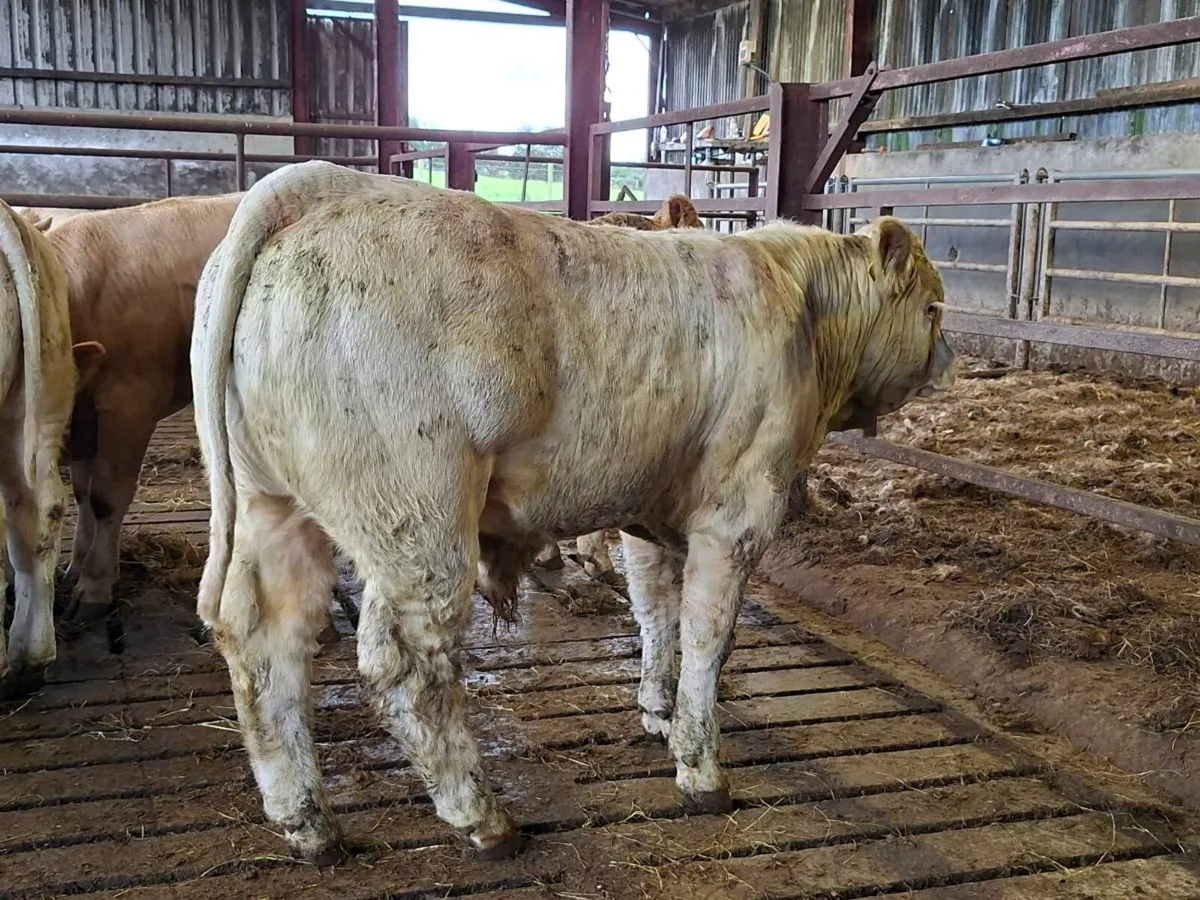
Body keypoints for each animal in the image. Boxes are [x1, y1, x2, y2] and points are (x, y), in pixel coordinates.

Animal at [43, 194, 242, 627]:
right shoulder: (85, 417)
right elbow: (82, 493)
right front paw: (74, 570)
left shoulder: (128, 404)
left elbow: (106, 496)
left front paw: (94, 588)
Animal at [190, 160, 955, 864]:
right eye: (933, 308)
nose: (947, 360)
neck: (802, 309)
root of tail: (319, 189)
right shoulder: (738, 510)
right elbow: (709, 635)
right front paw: (701, 767)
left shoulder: (652, 512)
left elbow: (655, 610)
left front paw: (656, 710)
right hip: (416, 523)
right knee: (406, 666)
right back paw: (481, 817)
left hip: (273, 505)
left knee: (264, 642)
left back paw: (309, 823)